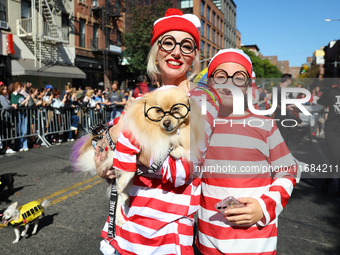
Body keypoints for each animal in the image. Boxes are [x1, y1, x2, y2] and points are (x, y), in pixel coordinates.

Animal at [71, 86, 203, 227]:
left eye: (176, 109)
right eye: (158, 110)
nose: (166, 123)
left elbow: (184, 148)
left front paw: (176, 151)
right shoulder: (125, 144)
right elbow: (128, 171)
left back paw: (121, 213)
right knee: (118, 188)